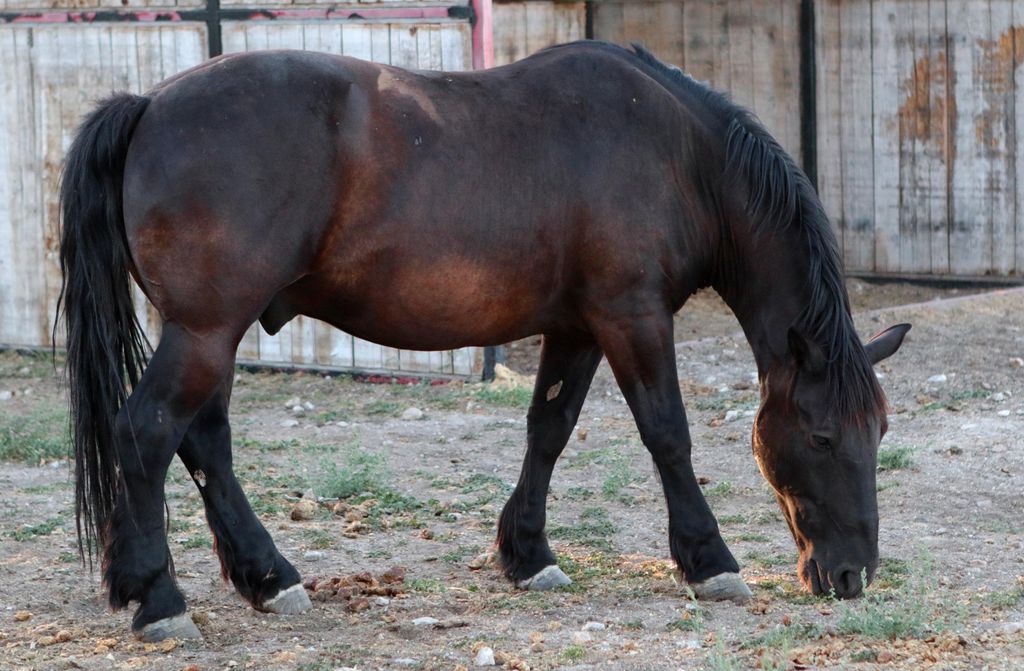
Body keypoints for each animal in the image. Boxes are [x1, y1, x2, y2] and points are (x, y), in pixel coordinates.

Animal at [58, 40, 910, 642]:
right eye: (822, 435)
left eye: (878, 430)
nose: (851, 575)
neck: (677, 154)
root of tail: (149, 103)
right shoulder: (631, 316)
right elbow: (668, 433)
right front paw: (710, 560)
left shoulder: (576, 325)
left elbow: (549, 428)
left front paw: (528, 554)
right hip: (205, 331)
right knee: (147, 434)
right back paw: (160, 599)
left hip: (211, 334)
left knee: (203, 442)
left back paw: (265, 576)